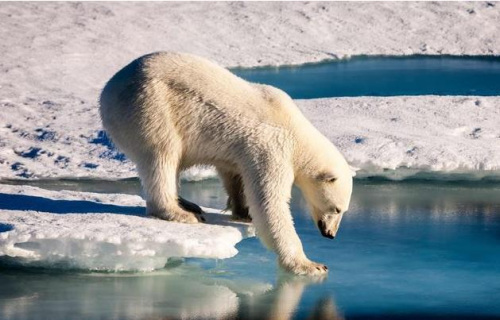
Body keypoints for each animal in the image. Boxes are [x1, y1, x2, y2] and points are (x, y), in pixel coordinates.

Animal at [99, 52, 354, 276]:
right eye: (337, 209)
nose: (330, 234)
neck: (296, 131)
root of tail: (108, 89)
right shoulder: (272, 148)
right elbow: (270, 203)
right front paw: (310, 265)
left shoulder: (242, 150)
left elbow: (234, 174)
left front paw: (243, 211)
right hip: (150, 107)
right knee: (162, 155)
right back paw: (180, 212)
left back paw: (188, 203)